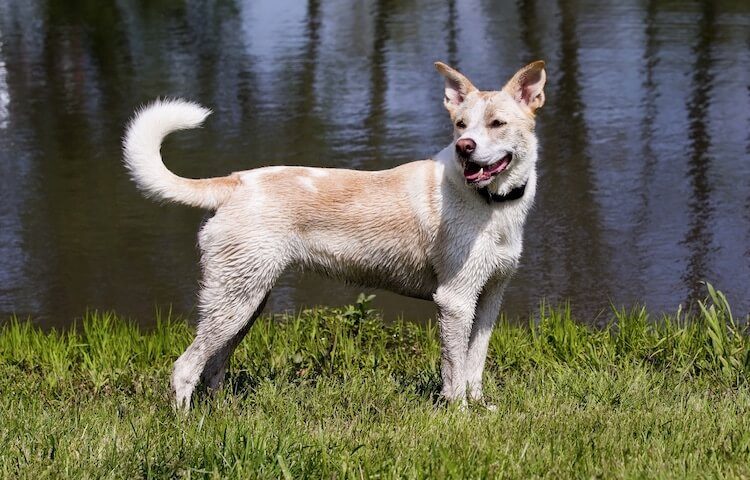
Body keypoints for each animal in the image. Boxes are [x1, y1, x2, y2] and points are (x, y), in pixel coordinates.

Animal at [123, 60, 548, 408]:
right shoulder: (454, 301)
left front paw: (480, 407)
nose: (464, 148)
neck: (491, 203)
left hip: (245, 301)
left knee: (213, 367)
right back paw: (186, 427)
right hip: (234, 301)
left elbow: (475, 362)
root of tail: (235, 182)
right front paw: (458, 414)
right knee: (185, 367)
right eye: (460, 125)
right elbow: (454, 370)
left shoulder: (490, 297)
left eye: (497, 124)